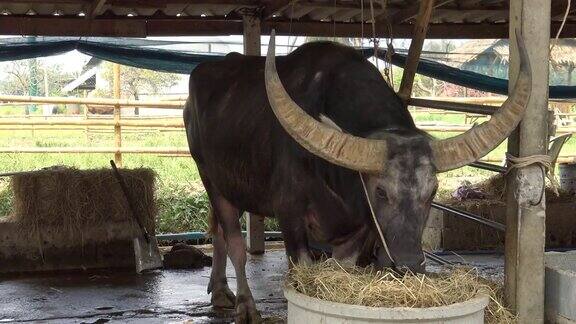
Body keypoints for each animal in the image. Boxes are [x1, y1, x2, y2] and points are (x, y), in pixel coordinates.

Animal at [186, 31, 532, 322]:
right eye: (380, 191)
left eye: (432, 192)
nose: (407, 264)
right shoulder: (290, 216)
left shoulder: (361, 229)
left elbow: (343, 264)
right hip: (211, 179)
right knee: (234, 242)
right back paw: (245, 305)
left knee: (217, 232)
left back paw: (220, 292)